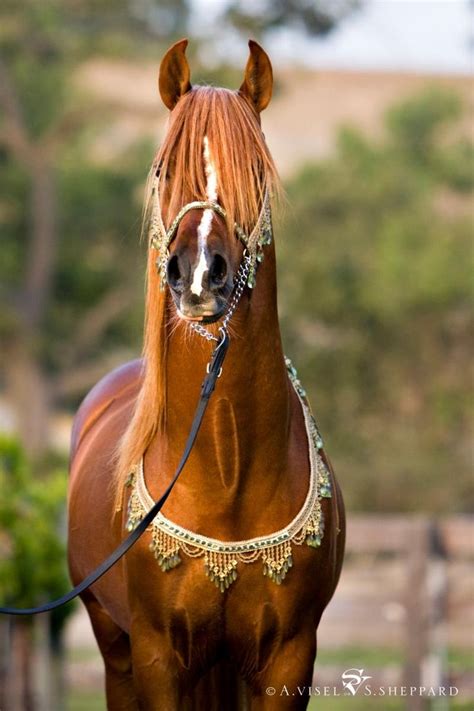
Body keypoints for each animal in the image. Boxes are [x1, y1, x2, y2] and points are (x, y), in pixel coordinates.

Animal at [68, 40, 344, 711]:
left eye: (257, 175)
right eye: (163, 171)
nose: (198, 277)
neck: (225, 467)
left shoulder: (288, 658)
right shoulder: (158, 657)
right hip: (113, 645)